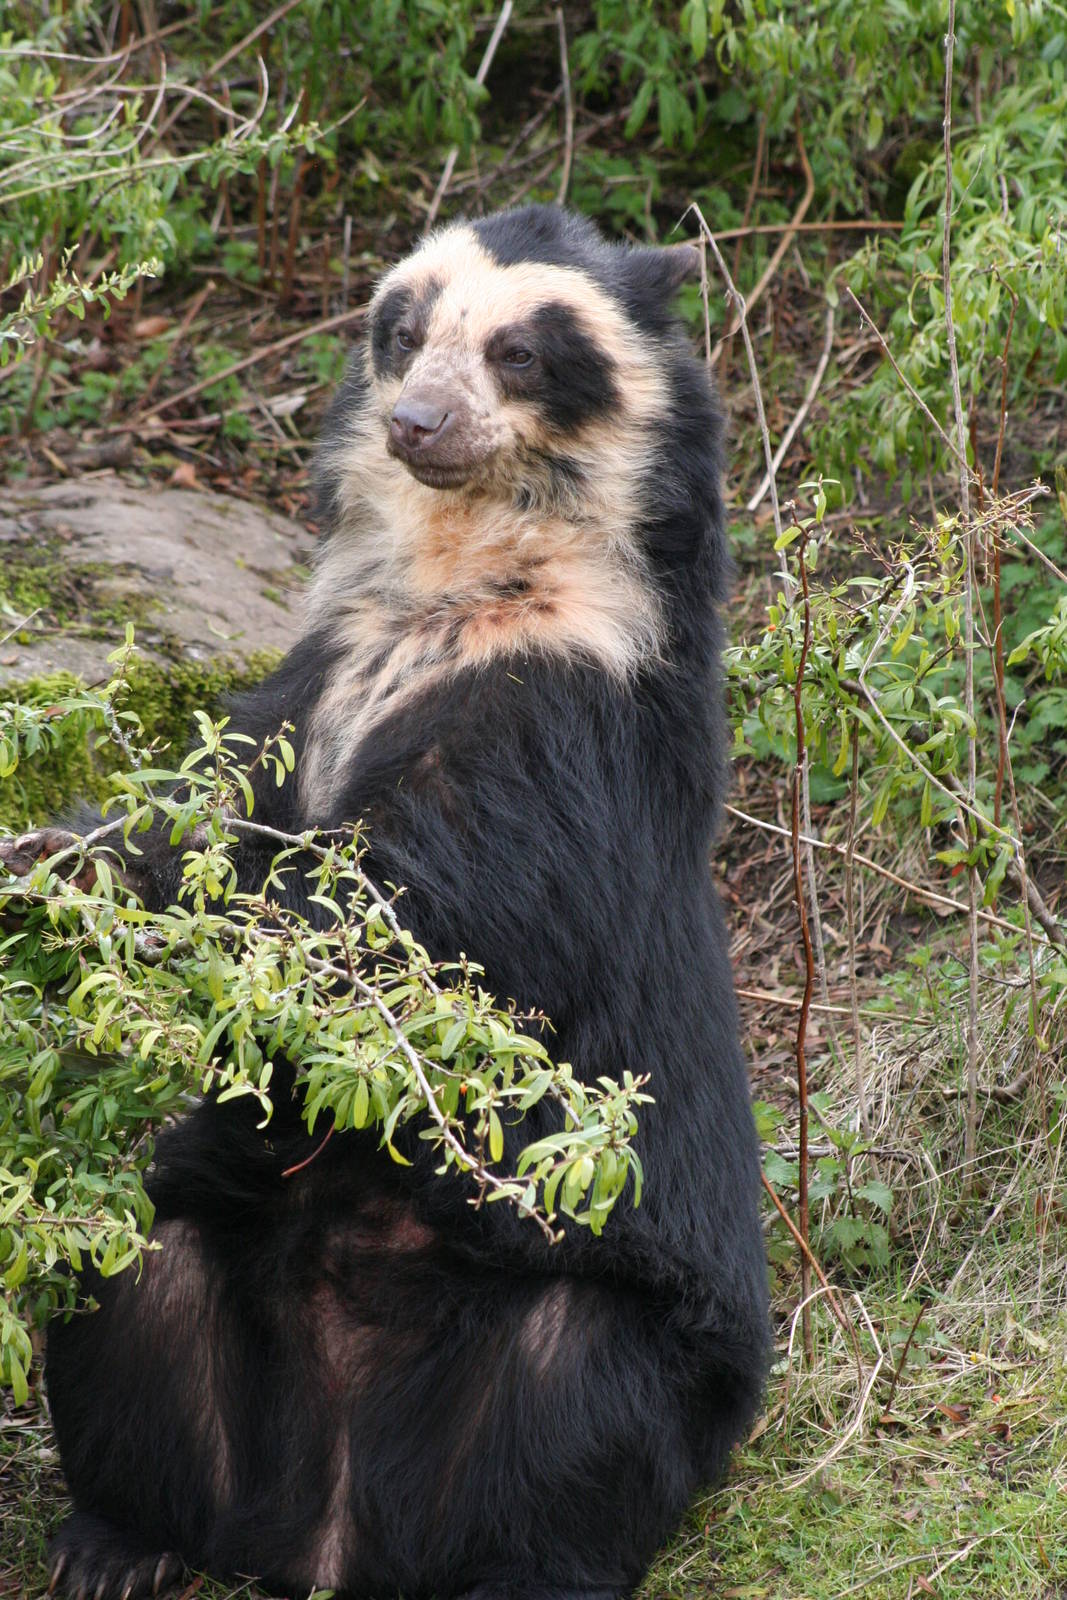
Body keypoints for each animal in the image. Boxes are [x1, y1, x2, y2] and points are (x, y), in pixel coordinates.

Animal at [18, 204, 769, 1600]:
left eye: (521, 351)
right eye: (404, 331)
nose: (415, 423)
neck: (458, 573)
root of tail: (328, 1533)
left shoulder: (568, 707)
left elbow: (417, 916)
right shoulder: (322, 668)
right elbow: (219, 796)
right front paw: (59, 863)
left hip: (619, 1322)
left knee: (576, 1405)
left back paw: (520, 1566)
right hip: (194, 1268)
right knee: (126, 1276)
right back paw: (118, 1543)